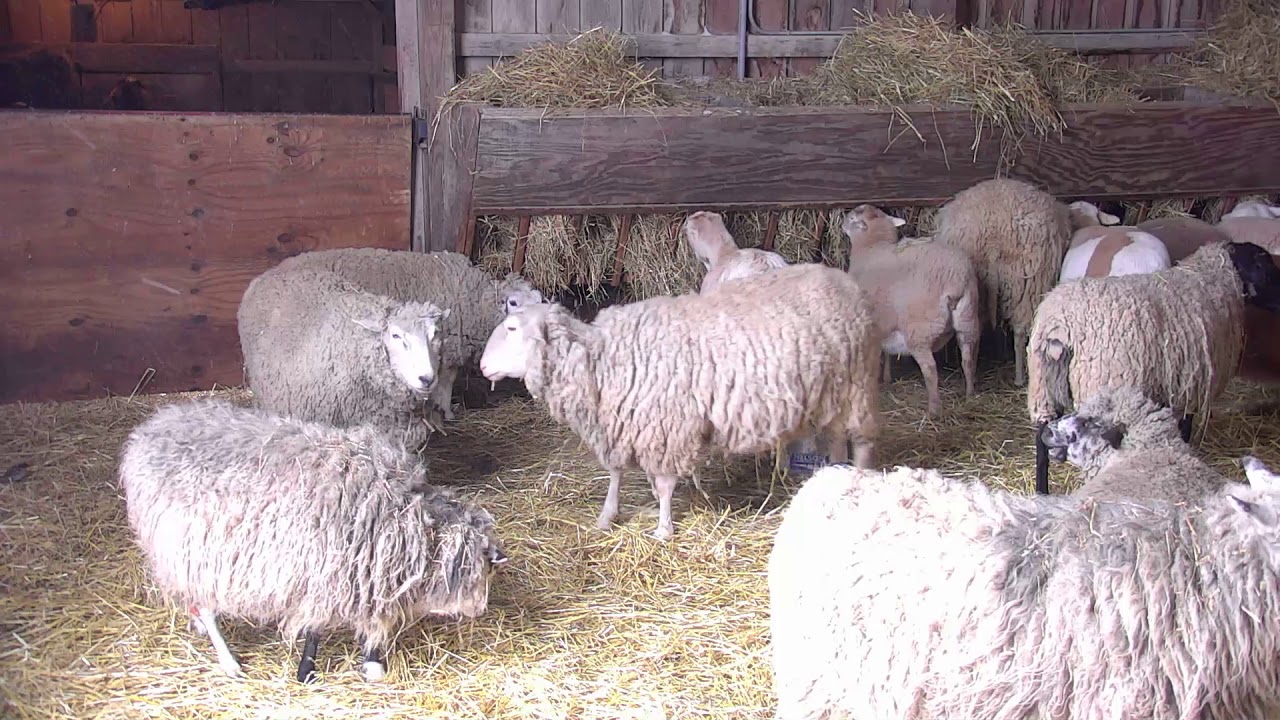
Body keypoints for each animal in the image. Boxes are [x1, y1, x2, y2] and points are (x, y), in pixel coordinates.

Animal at [117, 398, 508, 684]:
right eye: (485, 569)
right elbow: (316, 629)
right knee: (207, 608)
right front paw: (307, 669)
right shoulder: (323, 573)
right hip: (189, 550)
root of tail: (152, 427)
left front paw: (372, 662)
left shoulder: (358, 573)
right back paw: (229, 661)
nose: (481, 611)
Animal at [271, 247, 545, 422]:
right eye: (513, 302)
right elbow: (445, 384)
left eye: (540, 300)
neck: (476, 300)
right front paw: (446, 412)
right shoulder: (446, 351)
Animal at [478, 262, 882, 540]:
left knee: (861, 442)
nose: (482, 366)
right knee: (836, 439)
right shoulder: (620, 422)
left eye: (512, 328)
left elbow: (664, 485)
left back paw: (857, 485)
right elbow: (615, 474)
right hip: (832, 393)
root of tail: (846, 282)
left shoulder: (667, 427)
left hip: (858, 384)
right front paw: (607, 516)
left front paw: (663, 528)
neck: (604, 356)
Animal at [840, 203, 981, 417]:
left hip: (918, 330)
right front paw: (887, 378)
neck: (871, 246)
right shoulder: (884, 323)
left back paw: (933, 410)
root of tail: (955, 278)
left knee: (930, 369)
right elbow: (886, 352)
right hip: (968, 320)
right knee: (968, 359)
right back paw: (970, 394)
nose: (842, 223)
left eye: (852, 217)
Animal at [933, 177, 1074, 386]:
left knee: (972, 335)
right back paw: (1020, 378)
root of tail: (993, 240)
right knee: (1021, 332)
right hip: (1028, 284)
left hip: (973, 289)